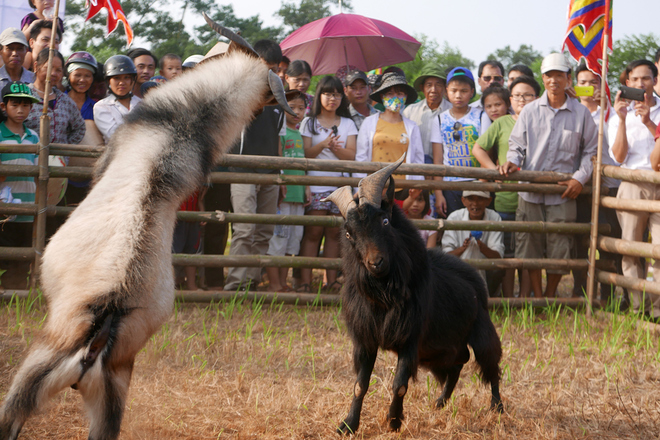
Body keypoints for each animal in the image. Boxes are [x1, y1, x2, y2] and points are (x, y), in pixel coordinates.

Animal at [326, 156, 506, 434]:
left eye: (385, 221)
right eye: (348, 233)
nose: (376, 263)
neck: (385, 297)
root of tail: (474, 278)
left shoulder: (410, 340)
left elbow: (399, 385)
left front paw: (394, 422)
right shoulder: (366, 340)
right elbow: (359, 385)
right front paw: (348, 425)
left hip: (479, 333)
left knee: (490, 365)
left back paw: (497, 408)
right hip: (437, 350)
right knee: (459, 361)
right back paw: (440, 402)